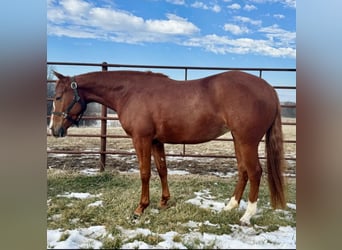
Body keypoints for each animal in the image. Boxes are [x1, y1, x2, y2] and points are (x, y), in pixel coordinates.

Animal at [50, 70, 286, 225]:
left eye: (58, 96)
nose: (54, 129)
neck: (130, 92)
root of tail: (268, 89)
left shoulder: (142, 139)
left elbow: (145, 173)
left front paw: (140, 209)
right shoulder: (156, 141)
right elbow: (162, 169)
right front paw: (163, 202)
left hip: (247, 141)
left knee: (255, 172)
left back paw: (247, 216)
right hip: (238, 139)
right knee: (243, 171)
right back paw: (230, 206)